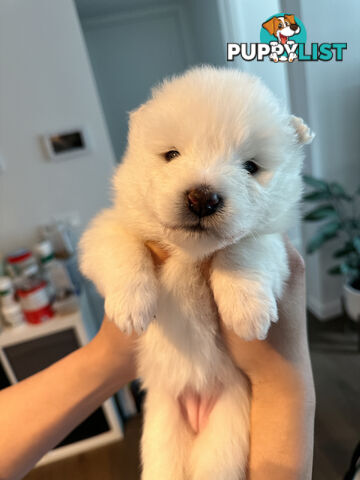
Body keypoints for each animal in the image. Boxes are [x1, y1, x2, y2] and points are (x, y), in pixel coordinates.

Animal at [80, 66, 314, 480]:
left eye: (251, 167)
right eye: (172, 155)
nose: (202, 198)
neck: (190, 255)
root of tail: (195, 403)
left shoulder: (273, 243)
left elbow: (241, 248)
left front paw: (247, 311)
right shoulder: (107, 227)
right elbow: (123, 249)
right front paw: (131, 307)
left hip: (226, 433)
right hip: (161, 432)